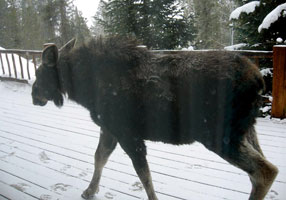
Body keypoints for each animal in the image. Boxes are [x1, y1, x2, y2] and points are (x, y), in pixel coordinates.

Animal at [31, 37, 278, 200]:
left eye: (40, 73)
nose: (34, 95)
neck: (83, 86)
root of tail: (258, 80)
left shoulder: (128, 133)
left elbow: (144, 174)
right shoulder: (109, 128)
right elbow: (99, 158)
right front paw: (89, 191)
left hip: (220, 135)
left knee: (266, 171)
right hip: (246, 130)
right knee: (261, 169)